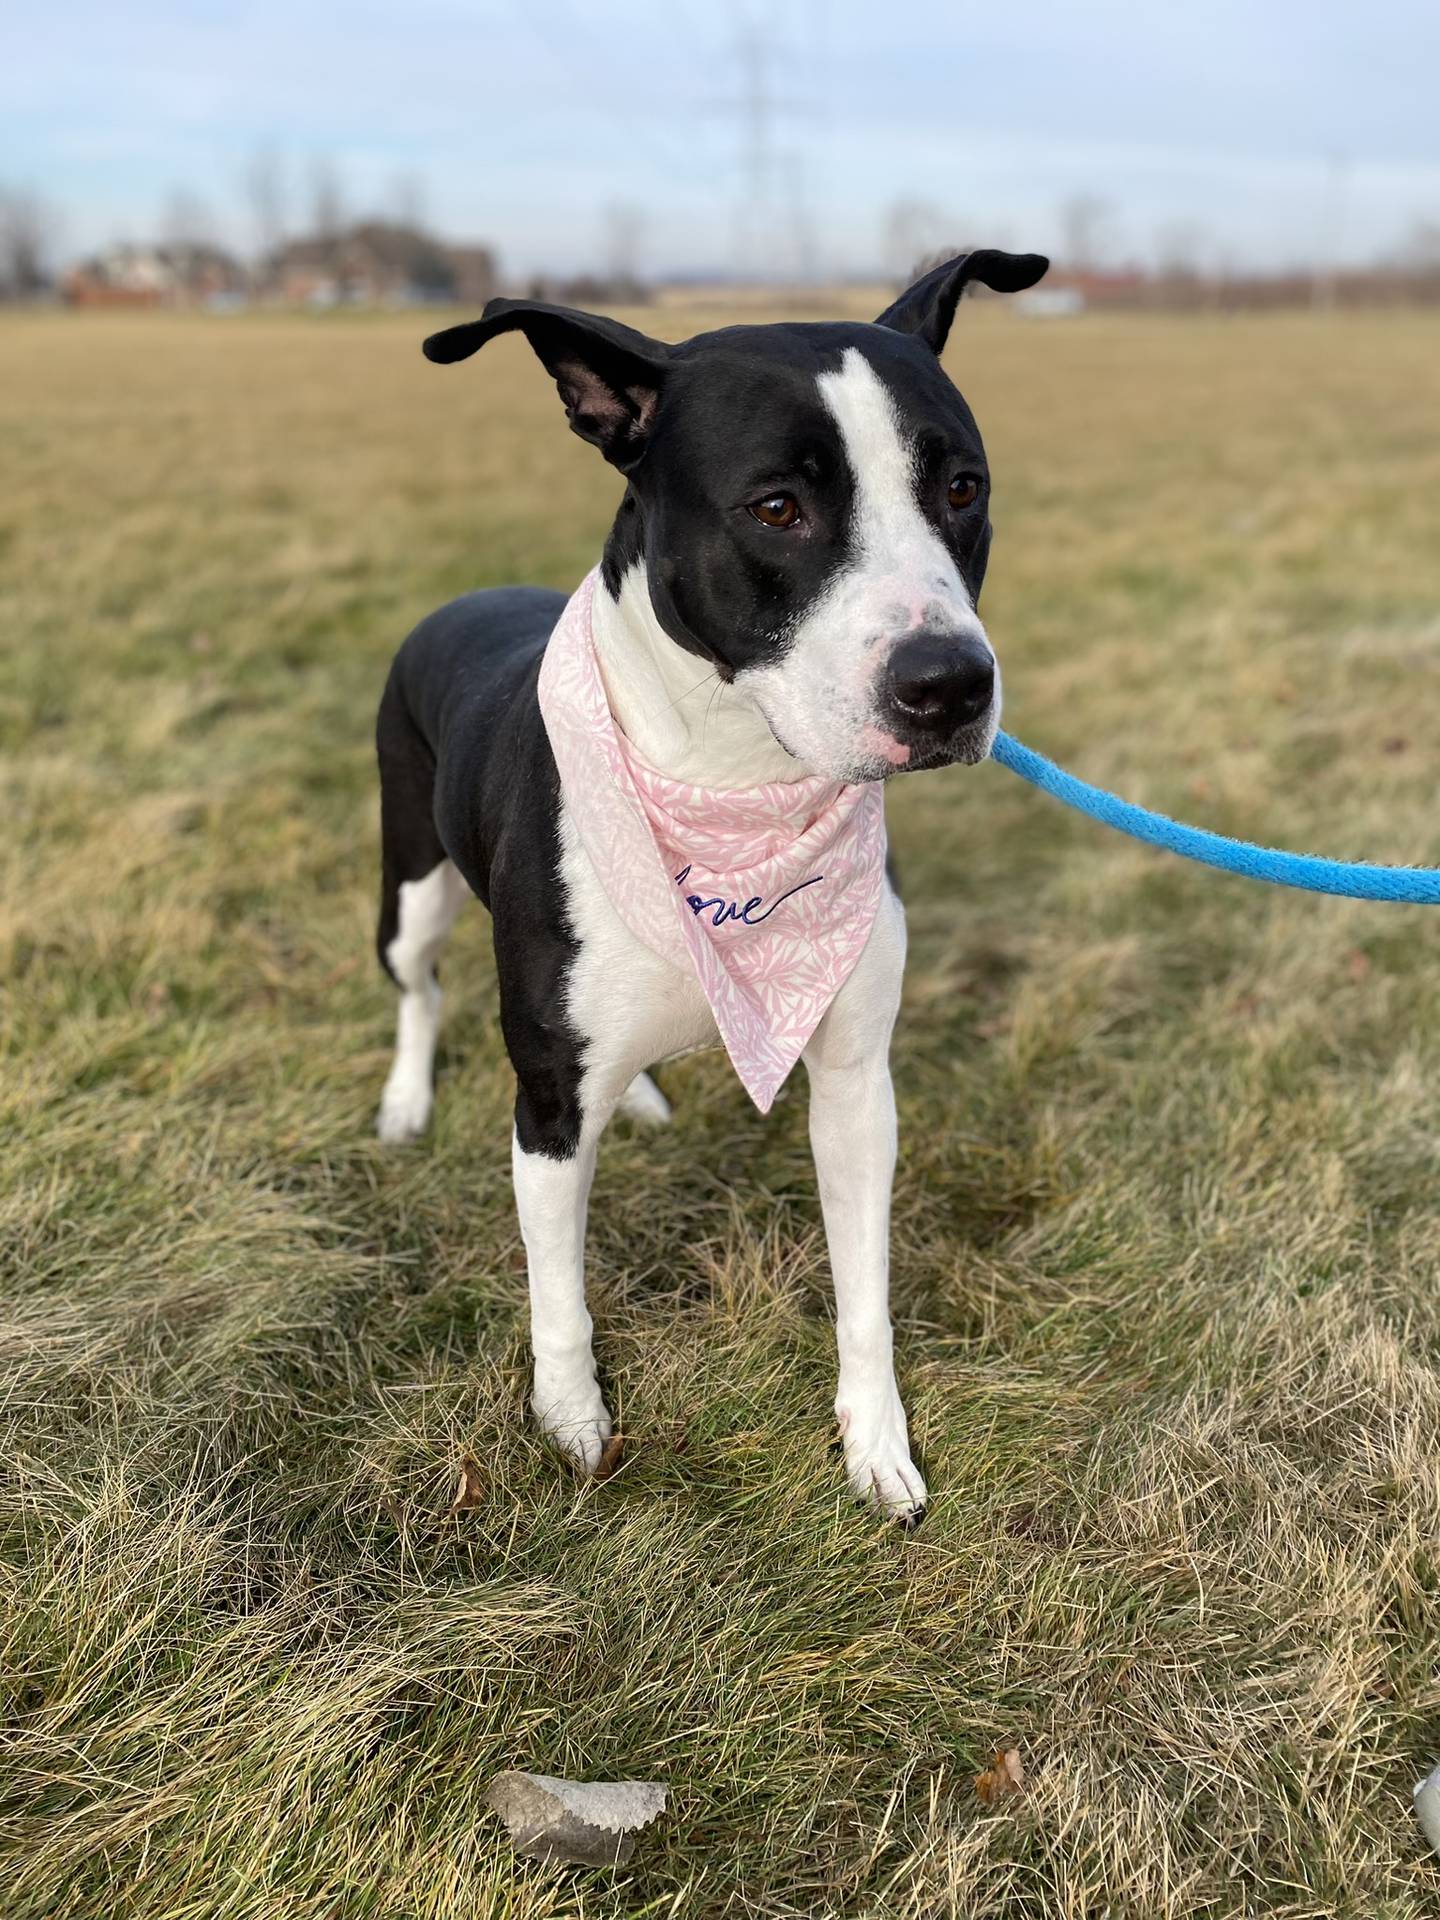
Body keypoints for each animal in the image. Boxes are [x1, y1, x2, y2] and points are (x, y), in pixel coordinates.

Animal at [372, 247, 1052, 1520]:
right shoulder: (544, 1106)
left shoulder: (856, 1085)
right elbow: (558, 1295)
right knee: (420, 989)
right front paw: (573, 1424)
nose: (949, 685)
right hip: (409, 889)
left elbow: (865, 1292)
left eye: (962, 489)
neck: (737, 784)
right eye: (776, 508)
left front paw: (876, 1443)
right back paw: (404, 1098)